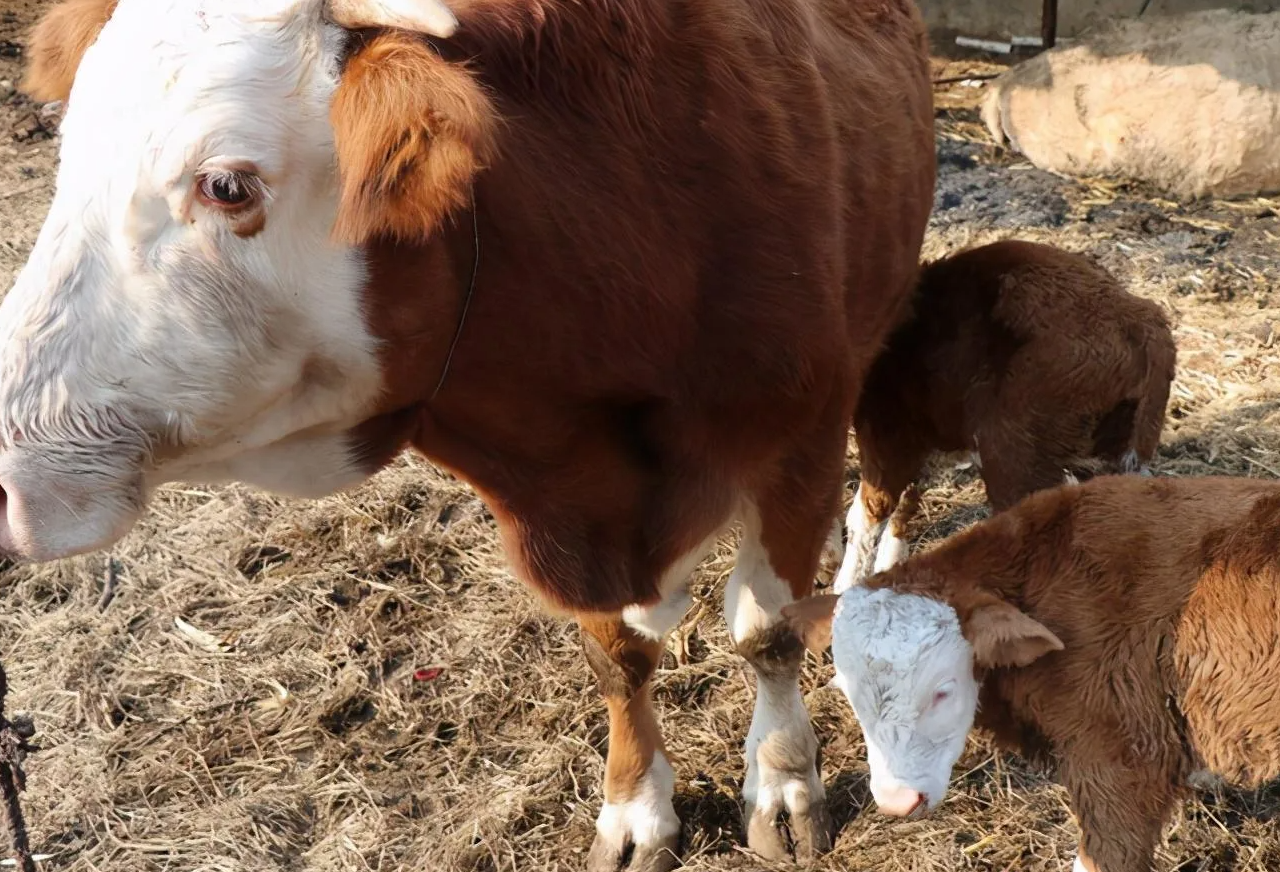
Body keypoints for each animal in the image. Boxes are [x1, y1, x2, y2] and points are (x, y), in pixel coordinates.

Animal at [5, 0, 936, 865]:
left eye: (225, 185)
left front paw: (782, 787)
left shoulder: (796, 440)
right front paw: (636, 809)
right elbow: (617, 657)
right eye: (68, 152)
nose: (7, 476)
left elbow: (766, 634)